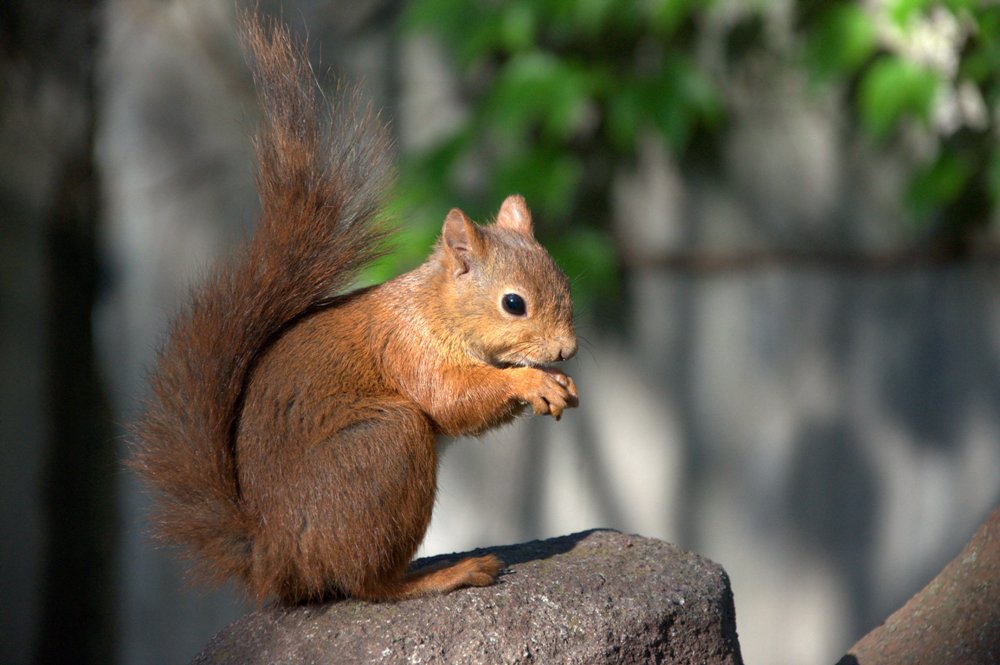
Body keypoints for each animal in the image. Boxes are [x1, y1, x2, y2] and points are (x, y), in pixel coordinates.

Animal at [129, 13, 580, 604]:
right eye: (513, 303)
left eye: (564, 280)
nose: (569, 350)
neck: (435, 309)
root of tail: (276, 559)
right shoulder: (408, 347)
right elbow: (451, 400)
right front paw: (529, 382)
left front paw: (556, 381)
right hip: (384, 448)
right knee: (369, 583)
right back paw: (443, 575)